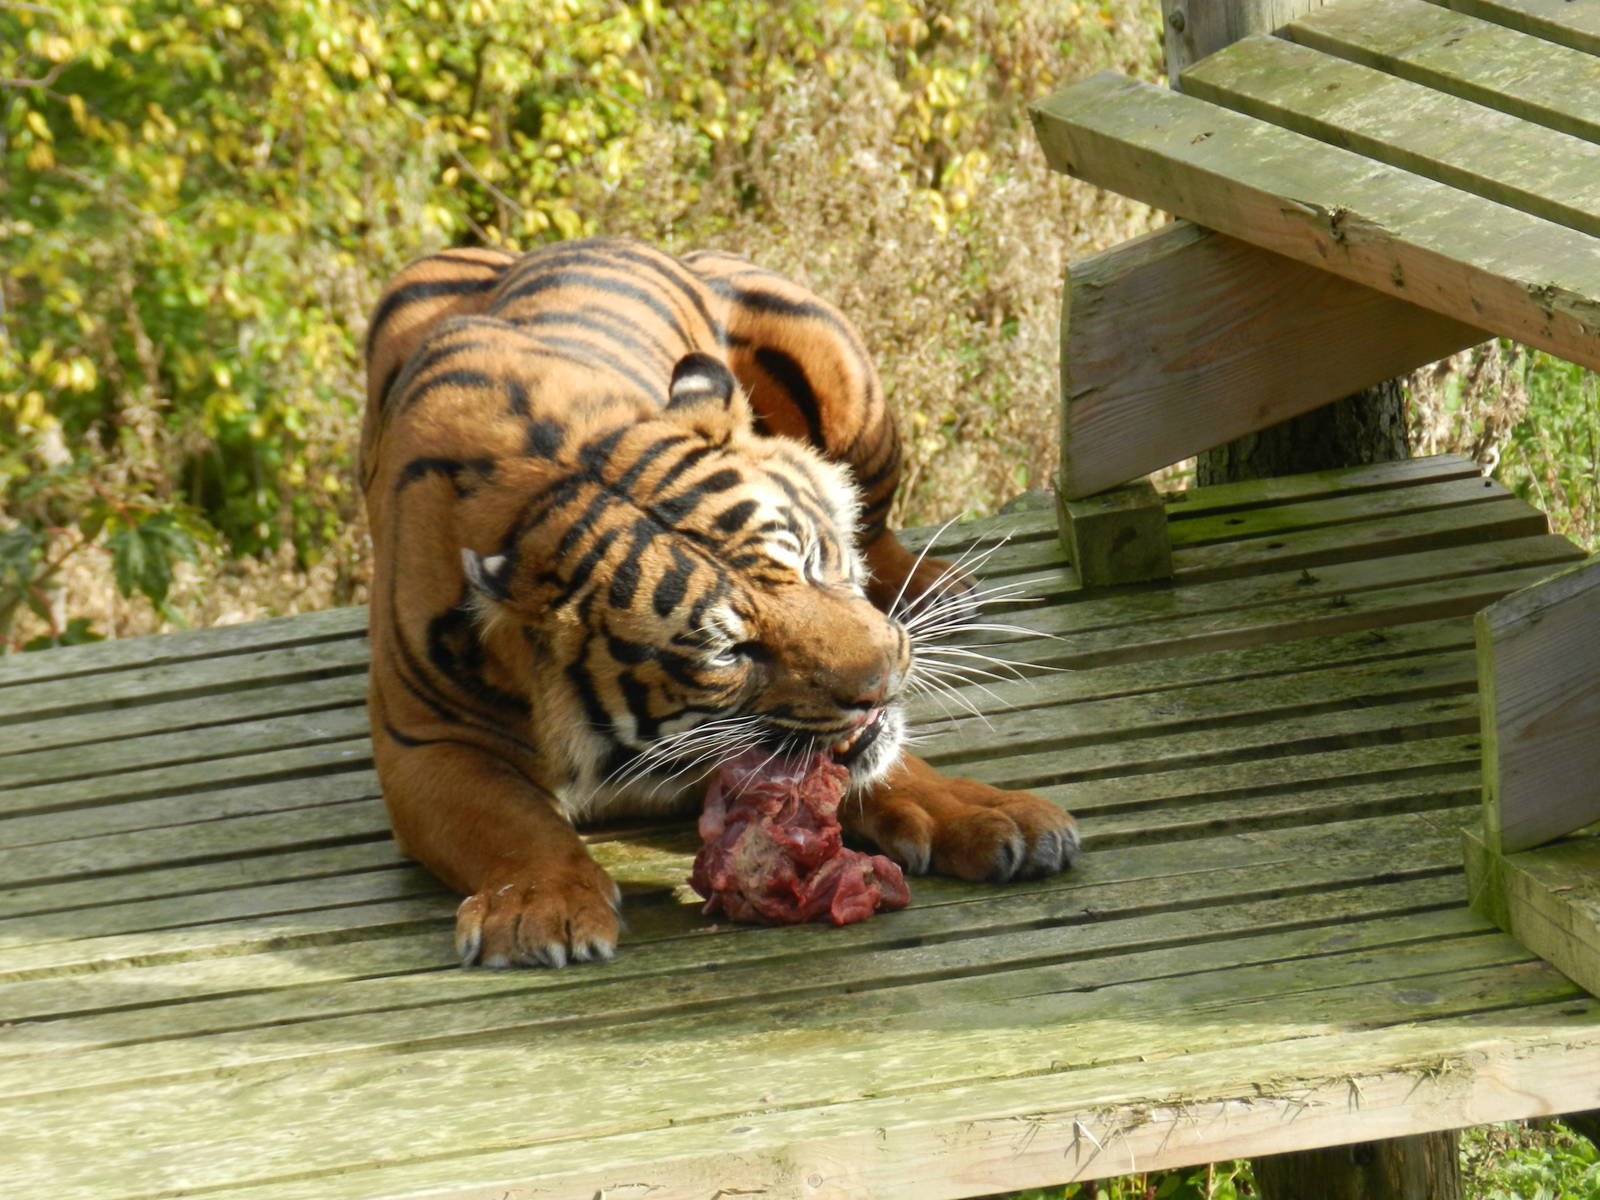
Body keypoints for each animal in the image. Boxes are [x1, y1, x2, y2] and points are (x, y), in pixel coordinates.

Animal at [361, 236, 1079, 968]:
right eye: (730, 652)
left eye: (811, 560)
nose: (884, 682)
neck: (541, 471)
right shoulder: (426, 743)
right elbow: (510, 822)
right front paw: (539, 907)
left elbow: (890, 765)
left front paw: (990, 814)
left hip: (844, 380)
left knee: (874, 521)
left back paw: (939, 588)